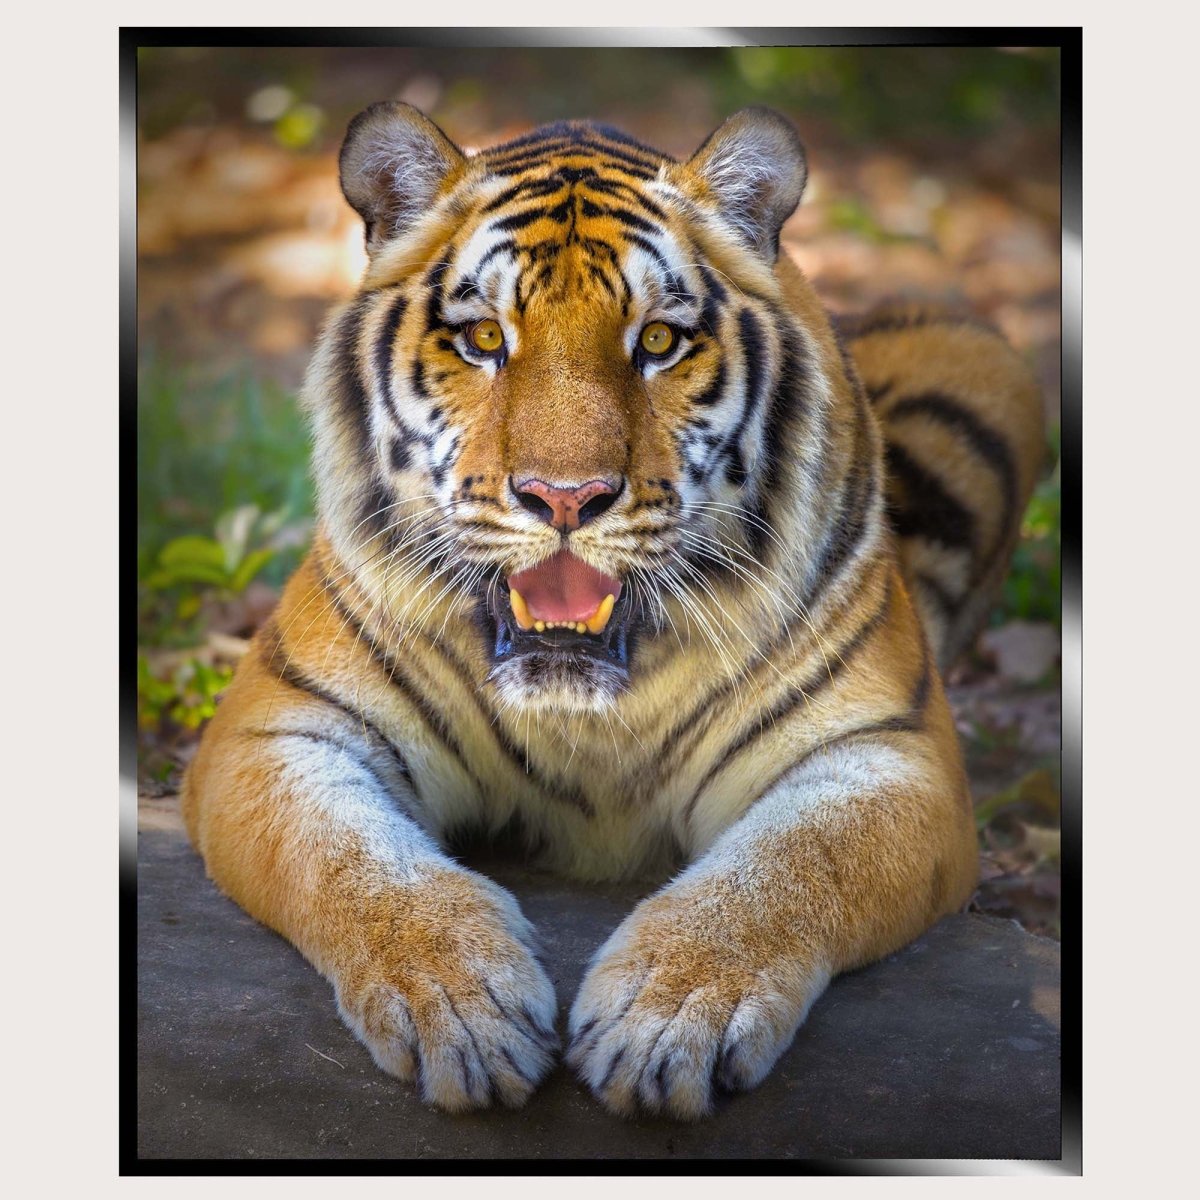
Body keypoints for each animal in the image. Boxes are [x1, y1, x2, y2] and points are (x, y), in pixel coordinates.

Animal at [181, 103, 1044, 1119]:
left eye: (659, 343)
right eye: (483, 339)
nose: (566, 498)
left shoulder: (887, 754)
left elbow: (787, 872)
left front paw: (667, 1020)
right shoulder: (279, 731)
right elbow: (352, 864)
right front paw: (462, 1005)